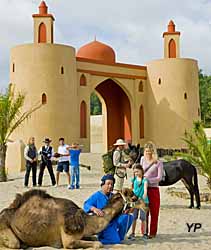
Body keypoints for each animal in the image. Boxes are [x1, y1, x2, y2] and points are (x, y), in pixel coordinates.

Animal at [0, 188, 145, 247]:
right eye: (134, 197)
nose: (145, 206)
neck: (85, 221)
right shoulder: (68, 240)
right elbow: (98, 244)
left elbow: (95, 238)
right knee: (14, 243)